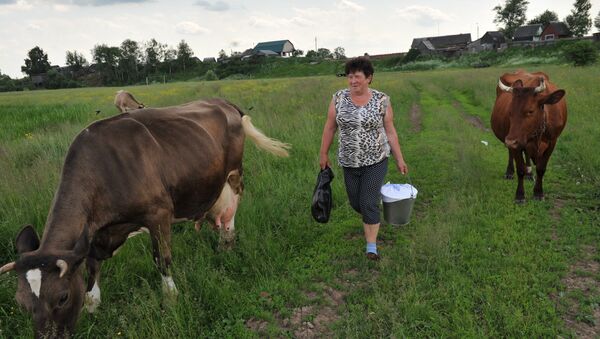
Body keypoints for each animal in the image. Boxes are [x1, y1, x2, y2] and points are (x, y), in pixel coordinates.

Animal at [0, 97, 290, 338]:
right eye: (20, 303)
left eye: (62, 297)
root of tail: (222, 101)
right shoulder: (94, 235)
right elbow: (92, 268)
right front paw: (93, 306)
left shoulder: (159, 213)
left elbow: (162, 260)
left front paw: (171, 299)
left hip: (234, 175)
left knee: (231, 213)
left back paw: (226, 245)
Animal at [492, 69, 568, 202]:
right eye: (509, 112)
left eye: (530, 111)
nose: (509, 141)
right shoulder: (515, 141)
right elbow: (520, 169)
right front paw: (520, 195)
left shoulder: (553, 142)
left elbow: (541, 168)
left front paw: (538, 193)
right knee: (511, 154)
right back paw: (509, 172)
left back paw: (529, 174)